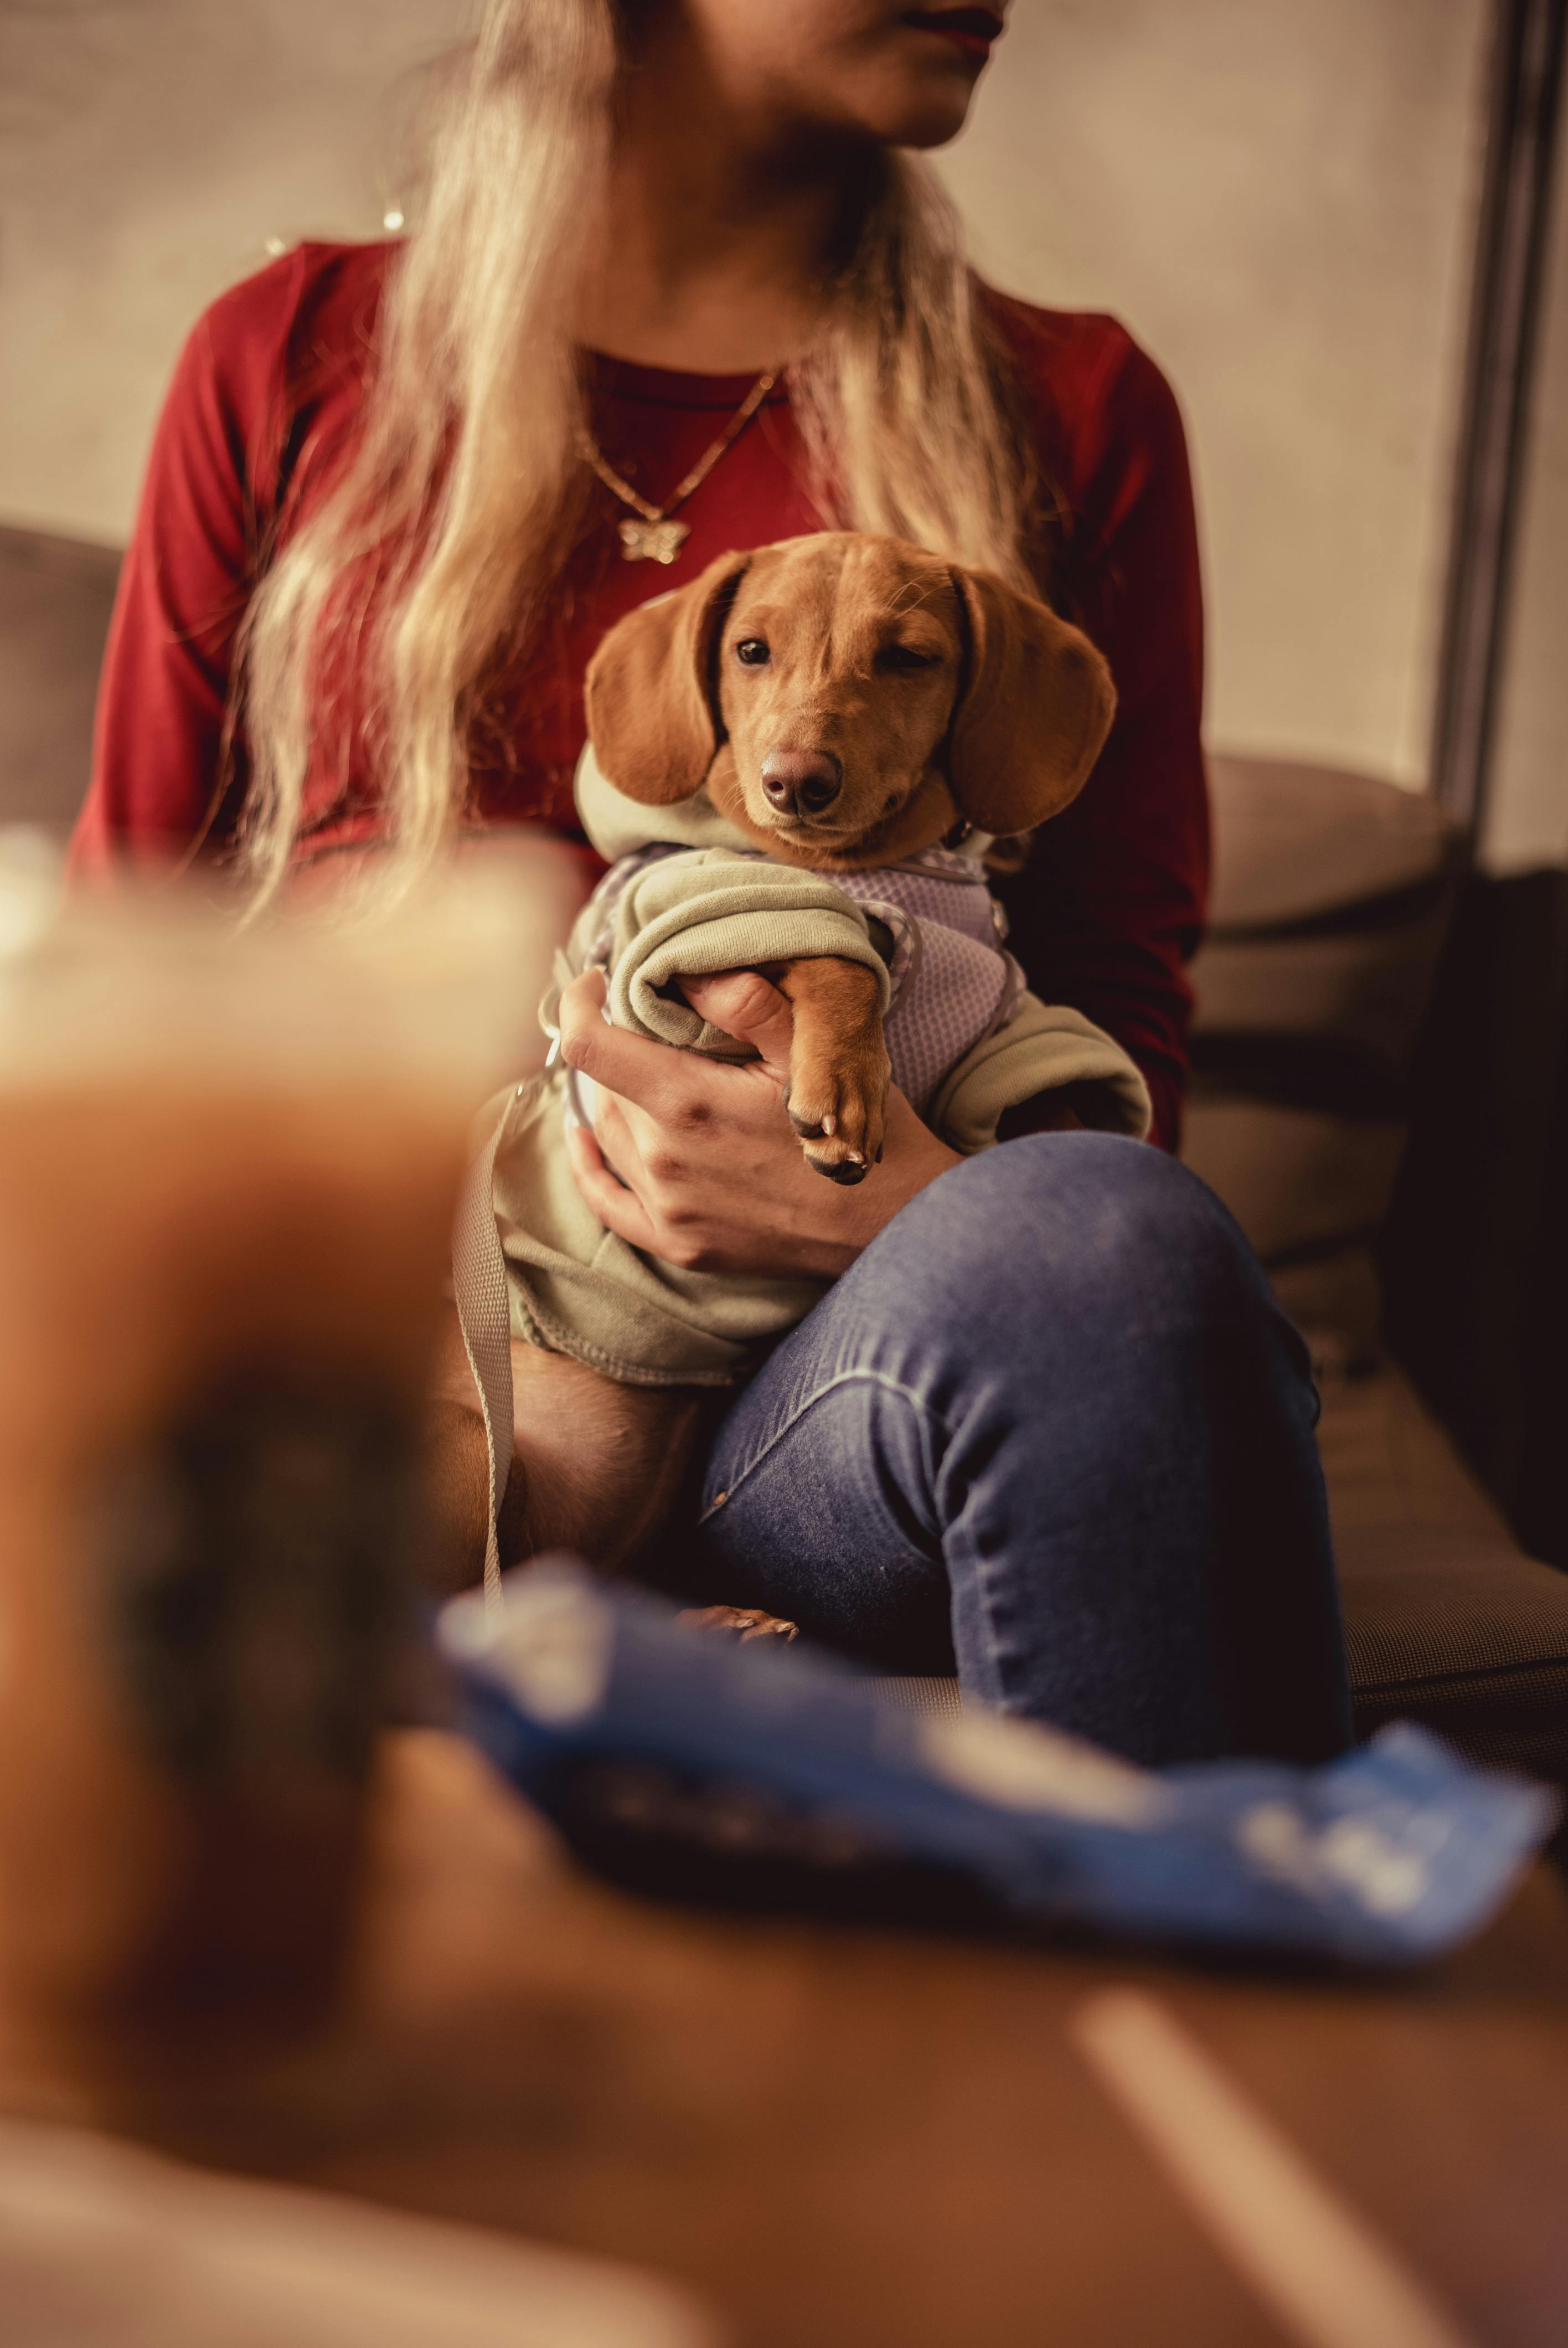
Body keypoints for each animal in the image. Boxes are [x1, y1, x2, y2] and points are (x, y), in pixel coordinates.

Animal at [584, 540, 1112, 1183]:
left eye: (909, 657)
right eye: (751, 651)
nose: (795, 782)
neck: (848, 864)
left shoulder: (1006, 1042)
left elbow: (1051, 1108)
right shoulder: (682, 931)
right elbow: (833, 951)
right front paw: (846, 1080)